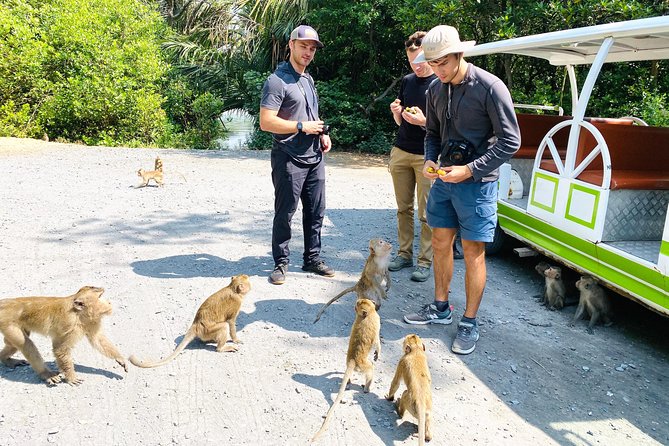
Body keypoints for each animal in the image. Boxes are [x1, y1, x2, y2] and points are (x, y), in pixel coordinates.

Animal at [0, 288, 128, 386]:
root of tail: (6, 303)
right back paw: (46, 374)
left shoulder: (91, 321)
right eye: (97, 293)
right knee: (26, 344)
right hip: (8, 323)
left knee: (12, 343)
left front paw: (120, 358)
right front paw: (71, 377)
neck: (79, 314)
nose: (109, 302)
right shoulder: (70, 325)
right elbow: (60, 349)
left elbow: (98, 339)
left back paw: (5, 358)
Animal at [310, 298, 378, 440]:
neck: (369, 314)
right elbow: (377, 341)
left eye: (359, 303)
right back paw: (367, 388)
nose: (356, 302)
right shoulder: (377, 320)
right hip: (363, 364)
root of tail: (353, 360)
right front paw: (377, 352)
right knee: (370, 368)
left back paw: (349, 381)